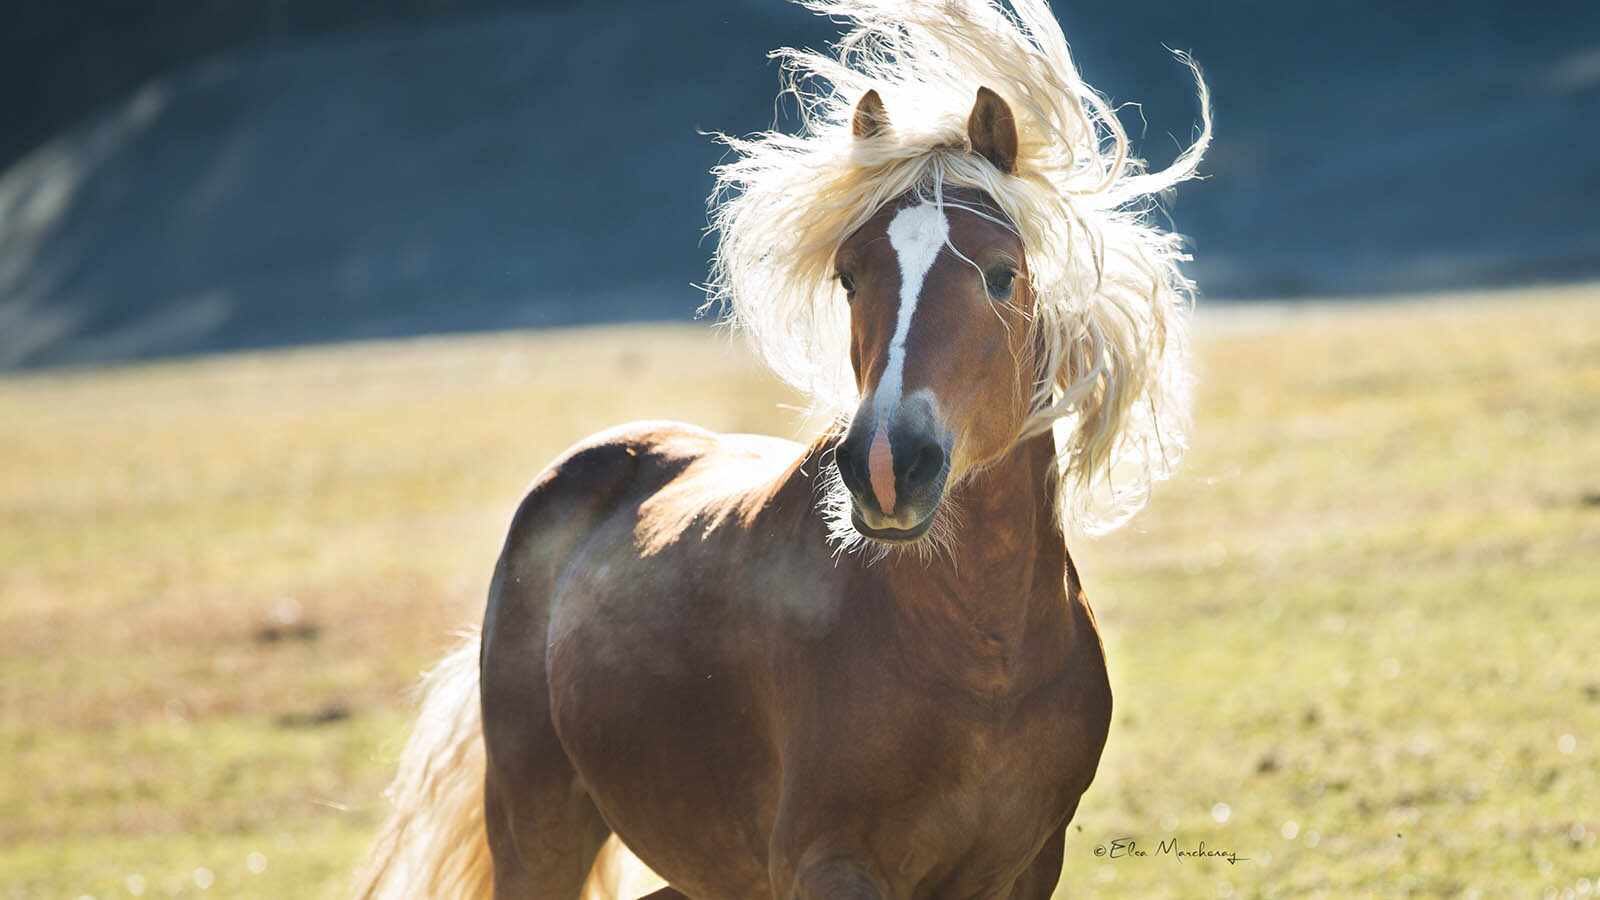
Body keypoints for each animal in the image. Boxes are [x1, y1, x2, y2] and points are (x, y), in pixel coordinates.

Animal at [353, 1, 1210, 897]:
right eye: (848, 275)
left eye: (1003, 274)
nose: (886, 467)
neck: (984, 657)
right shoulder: (829, 863)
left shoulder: (1026, 867)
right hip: (537, 825)